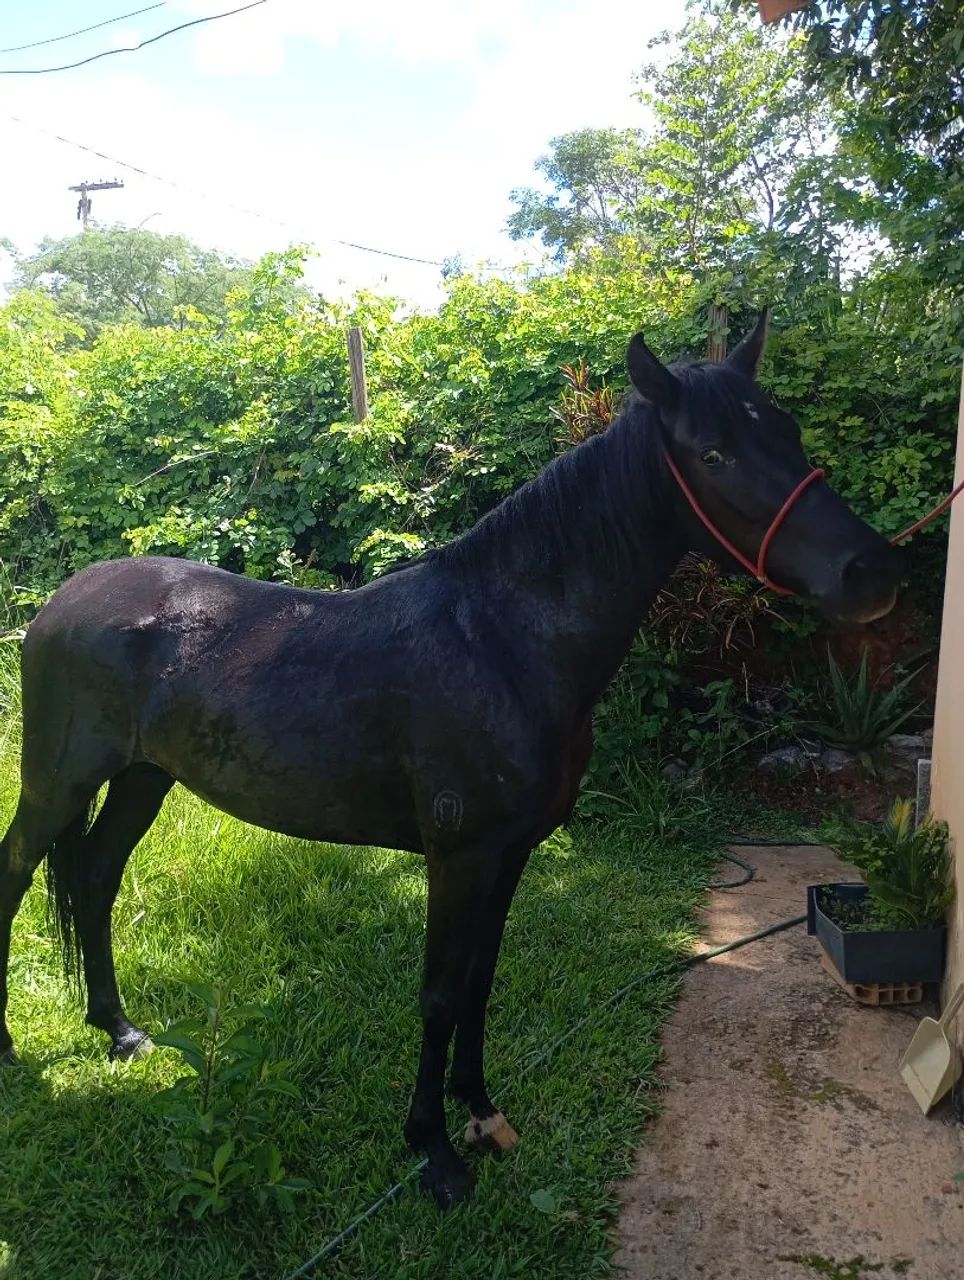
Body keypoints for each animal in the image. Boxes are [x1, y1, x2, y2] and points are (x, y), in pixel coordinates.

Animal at [0, 313, 900, 1208]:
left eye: (785, 429)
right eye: (713, 454)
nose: (872, 572)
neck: (503, 639)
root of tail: (64, 601)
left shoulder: (511, 853)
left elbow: (480, 981)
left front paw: (482, 1112)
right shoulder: (458, 855)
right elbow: (438, 994)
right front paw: (433, 1150)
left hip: (140, 780)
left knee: (95, 880)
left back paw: (121, 1031)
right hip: (57, 782)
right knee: (18, 876)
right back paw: (13, 1051)